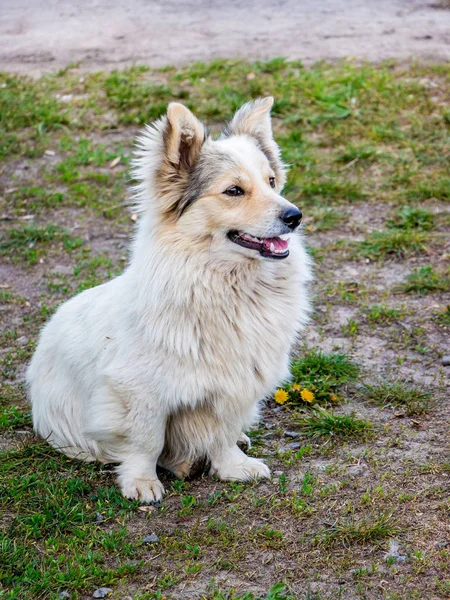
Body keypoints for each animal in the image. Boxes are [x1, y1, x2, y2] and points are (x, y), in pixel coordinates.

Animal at [26, 97, 312, 502]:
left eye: (271, 182)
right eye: (234, 191)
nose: (295, 216)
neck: (226, 286)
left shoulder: (236, 387)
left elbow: (223, 433)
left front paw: (233, 466)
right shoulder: (138, 393)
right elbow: (146, 442)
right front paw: (142, 483)